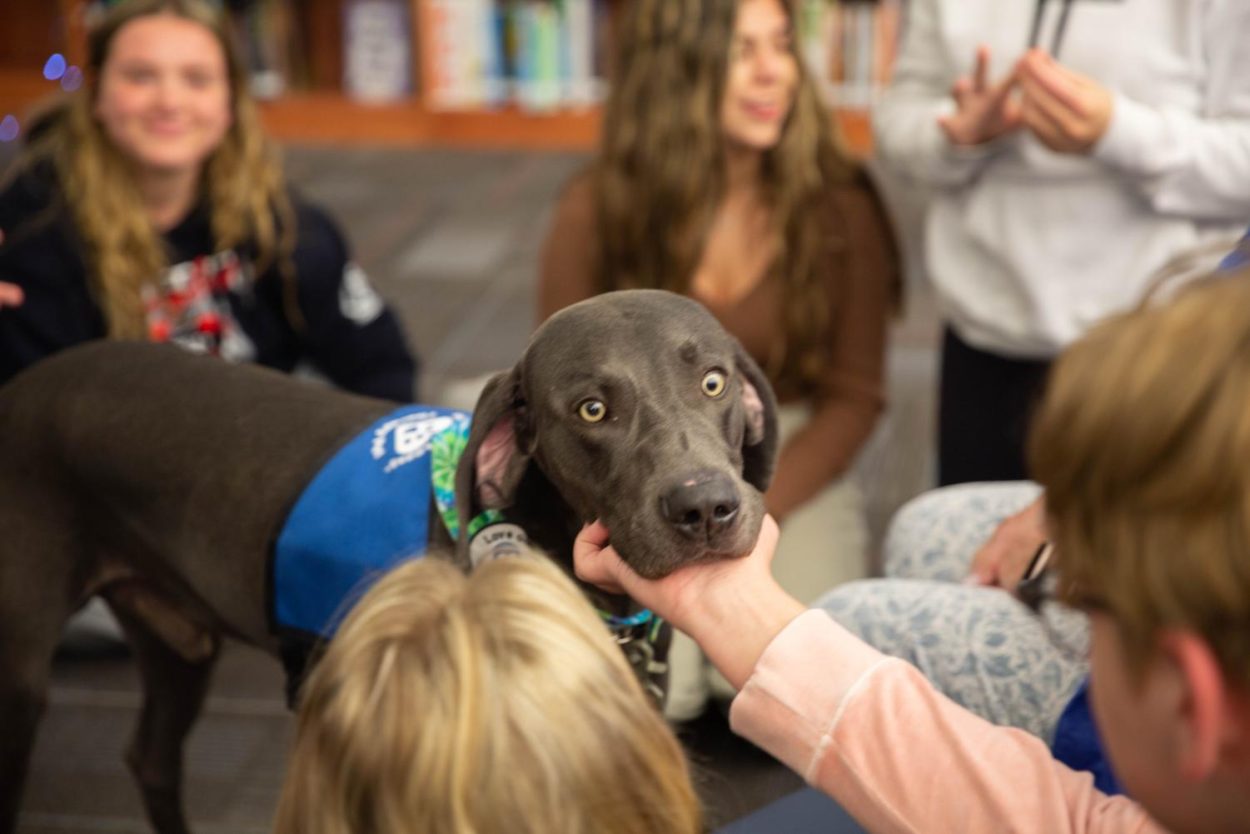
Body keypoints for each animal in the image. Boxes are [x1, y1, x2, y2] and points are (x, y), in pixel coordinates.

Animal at [0, 288, 775, 834]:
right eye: (591, 410)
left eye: (713, 383)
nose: (705, 507)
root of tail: (18, 387)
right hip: (22, 680)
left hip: (177, 647)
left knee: (151, 759)